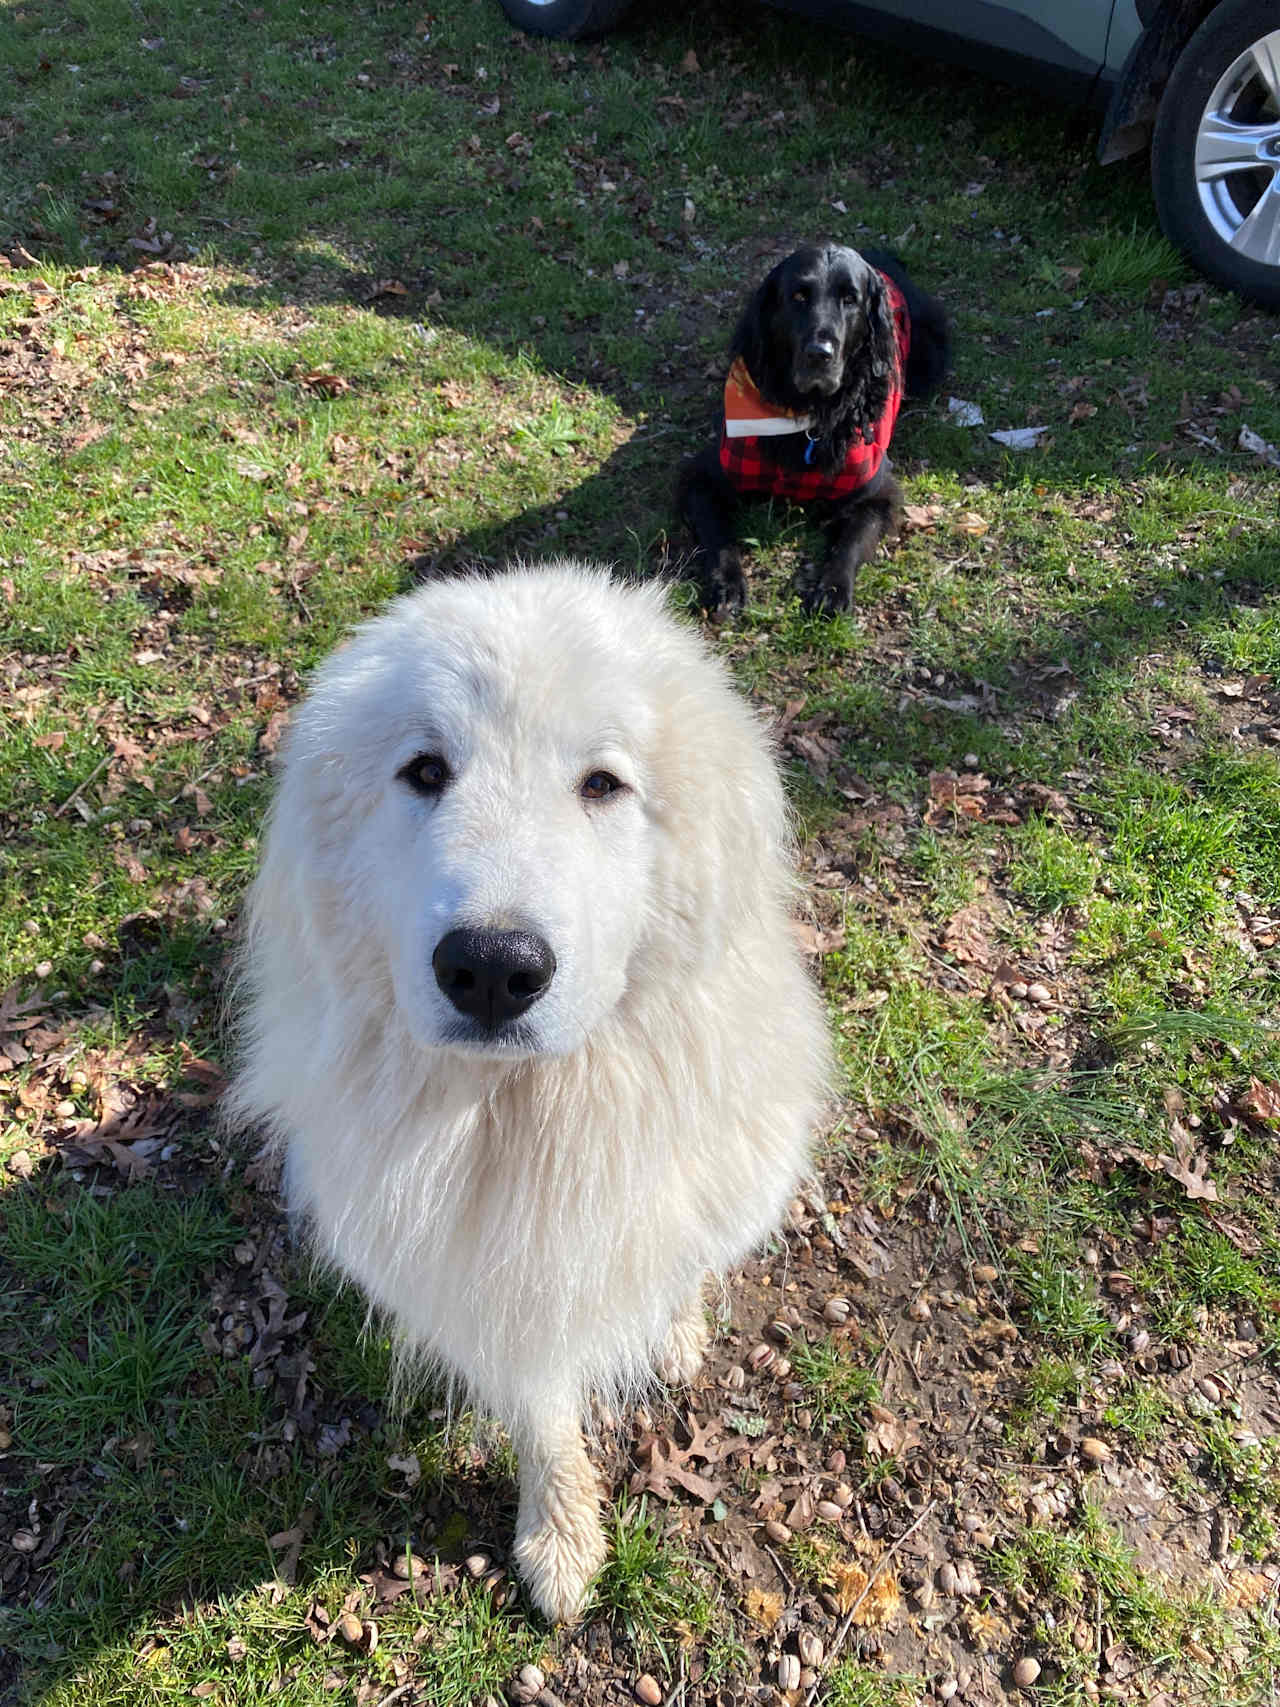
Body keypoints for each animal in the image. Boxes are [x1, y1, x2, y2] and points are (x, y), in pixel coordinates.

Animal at [228, 566, 832, 1618]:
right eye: (426, 771)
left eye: (602, 784)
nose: (492, 968)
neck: (528, 1114)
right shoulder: (488, 1288)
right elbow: (544, 1414)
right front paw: (561, 1536)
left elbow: (675, 1264)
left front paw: (672, 1328)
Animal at [675, 240, 948, 614]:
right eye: (799, 296)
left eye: (850, 299)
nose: (820, 353)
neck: (809, 414)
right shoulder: (703, 477)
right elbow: (718, 536)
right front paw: (727, 583)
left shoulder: (877, 492)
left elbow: (850, 542)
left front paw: (832, 587)